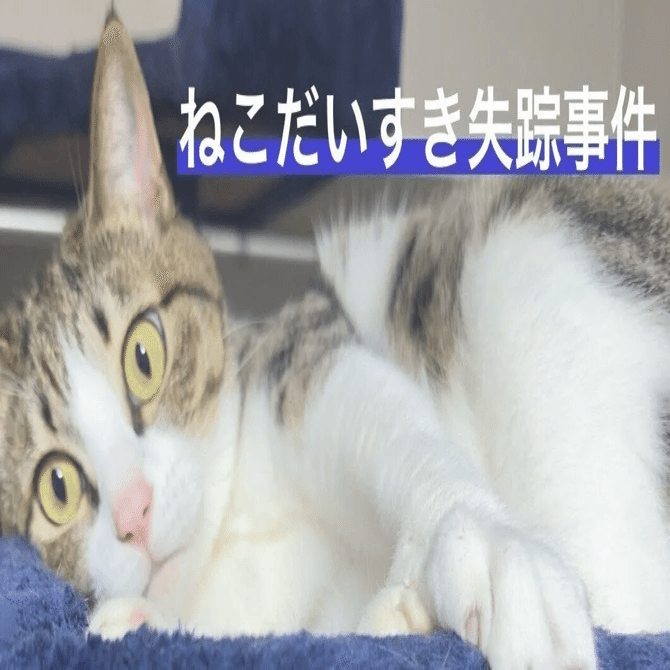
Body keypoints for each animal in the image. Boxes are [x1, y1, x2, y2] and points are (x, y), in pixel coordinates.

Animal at [3, 11, 670, 670]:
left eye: (144, 355)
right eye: (56, 487)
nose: (134, 515)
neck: (230, 532)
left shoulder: (303, 351)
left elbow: (393, 431)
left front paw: (484, 543)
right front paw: (135, 621)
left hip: (523, 256)